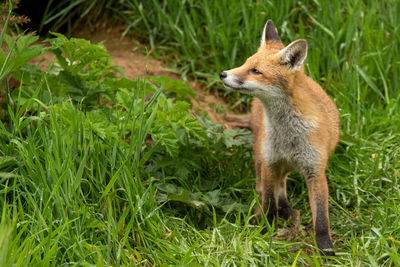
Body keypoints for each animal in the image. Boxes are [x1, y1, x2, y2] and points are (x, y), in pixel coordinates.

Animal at [220, 19, 340, 256]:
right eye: (245, 63)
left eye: (255, 71)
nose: (223, 74)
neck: (288, 135)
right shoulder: (270, 161)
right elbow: (268, 202)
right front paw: (264, 230)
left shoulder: (315, 170)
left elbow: (322, 219)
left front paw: (325, 248)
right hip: (262, 154)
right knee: (267, 185)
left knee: (283, 182)